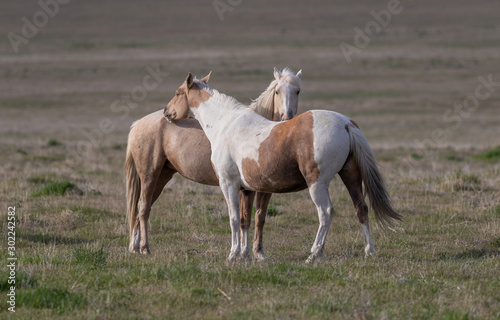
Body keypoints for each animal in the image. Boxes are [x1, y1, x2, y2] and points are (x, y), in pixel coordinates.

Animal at [127, 67, 302, 258]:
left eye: (298, 91)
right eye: (277, 91)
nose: (287, 117)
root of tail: (137, 124)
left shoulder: (258, 189)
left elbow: (255, 218)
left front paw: (255, 253)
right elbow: (243, 219)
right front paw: (246, 252)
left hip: (162, 176)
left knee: (141, 209)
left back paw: (135, 247)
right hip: (149, 176)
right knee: (143, 209)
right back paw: (144, 248)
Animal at [165, 73, 402, 262]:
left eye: (177, 93)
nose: (167, 112)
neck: (226, 123)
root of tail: (345, 124)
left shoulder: (228, 184)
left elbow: (233, 219)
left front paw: (232, 255)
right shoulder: (247, 189)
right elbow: (245, 220)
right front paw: (245, 255)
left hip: (317, 184)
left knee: (325, 213)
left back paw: (314, 254)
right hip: (351, 176)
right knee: (361, 209)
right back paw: (369, 251)